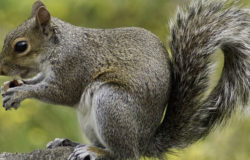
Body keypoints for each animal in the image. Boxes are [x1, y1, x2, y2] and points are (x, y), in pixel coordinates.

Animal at [0, 0, 249, 159]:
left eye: (21, 46)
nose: (1, 70)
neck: (58, 46)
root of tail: (144, 142)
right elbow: (39, 81)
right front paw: (12, 86)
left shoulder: (74, 65)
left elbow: (61, 92)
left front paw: (19, 93)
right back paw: (72, 143)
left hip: (111, 103)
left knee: (124, 154)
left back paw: (95, 152)